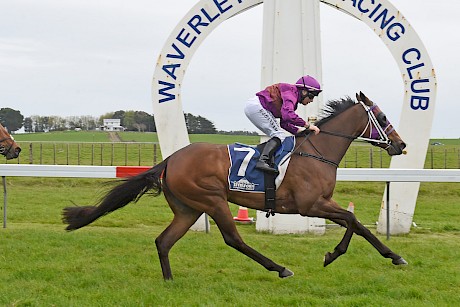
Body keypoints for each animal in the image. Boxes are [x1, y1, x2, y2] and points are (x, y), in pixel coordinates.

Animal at [63, 92, 408, 280]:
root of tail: (171, 159)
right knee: (233, 239)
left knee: (163, 241)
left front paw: (394, 256)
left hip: (188, 209)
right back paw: (280, 268)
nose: (401, 144)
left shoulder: (322, 203)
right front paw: (333, 254)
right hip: (213, 200)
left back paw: (169, 280)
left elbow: (357, 224)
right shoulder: (310, 205)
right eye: (382, 117)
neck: (317, 151)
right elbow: (351, 220)